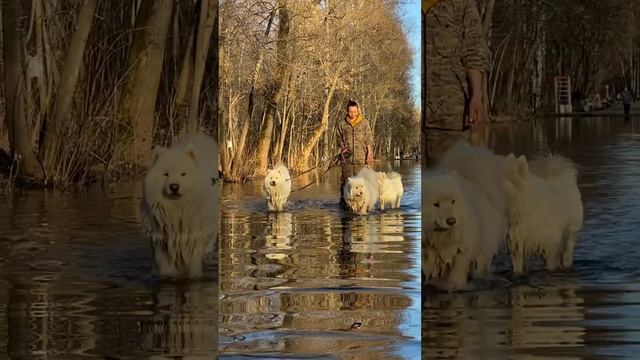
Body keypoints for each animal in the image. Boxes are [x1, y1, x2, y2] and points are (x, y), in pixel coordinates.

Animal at [140, 132, 220, 278]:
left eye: (183, 174)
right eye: (166, 174)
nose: (174, 187)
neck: (176, 210)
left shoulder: (193, 239)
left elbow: (193, 266)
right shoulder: (162, 241)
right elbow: (165, 267)